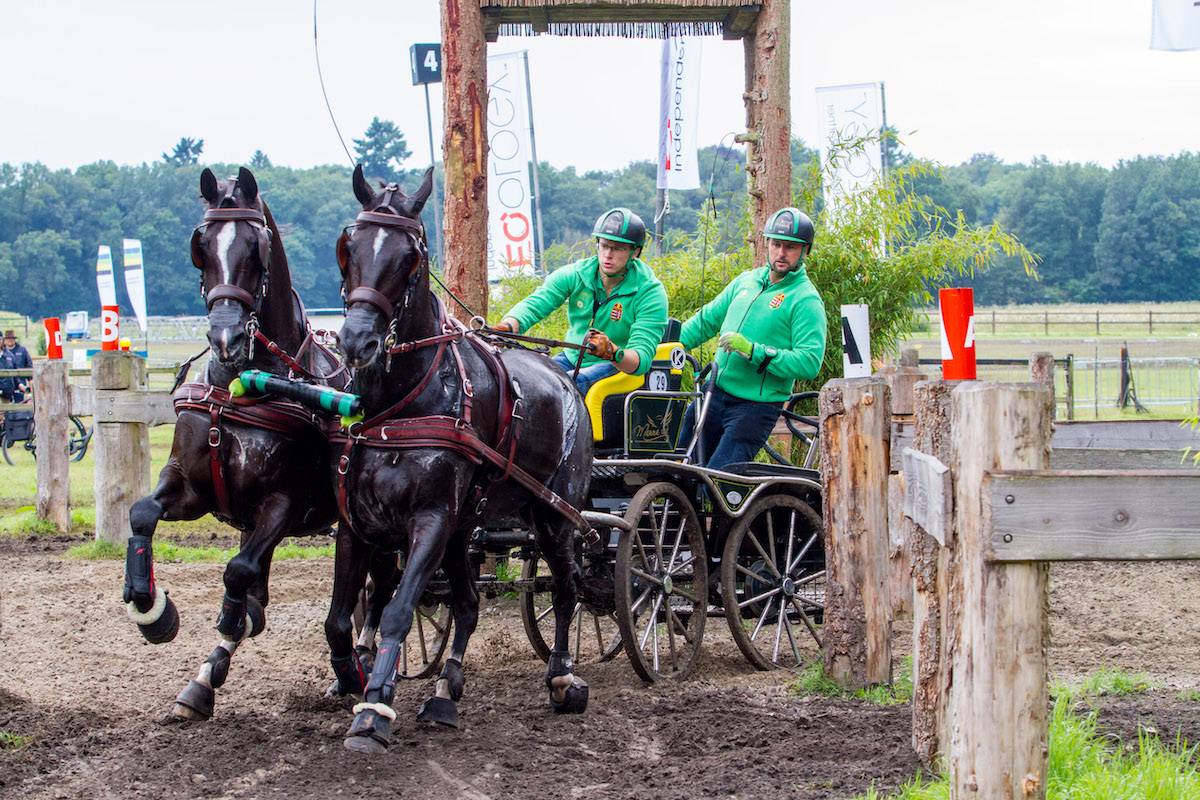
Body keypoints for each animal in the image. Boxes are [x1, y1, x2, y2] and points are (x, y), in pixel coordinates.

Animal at [126, 167, 350, 719]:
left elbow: (238, 572)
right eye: (201, 246)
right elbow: (142, 513)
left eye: (257, 246)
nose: (225, 338)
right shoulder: (190, 488)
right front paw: (151, 608)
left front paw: (228, 627)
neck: (241, 384)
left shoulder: (285, 504)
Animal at [326, 165, 592, 753]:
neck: (401, 404)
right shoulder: (358, 524)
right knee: (467, 603)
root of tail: (565, 375)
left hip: (554, 516)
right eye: (348, 246)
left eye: (410, 257)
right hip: (465, 526)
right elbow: (342, 619)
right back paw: (446, 691)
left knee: (567, 590)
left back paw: (563, 677)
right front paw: (353, 678)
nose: (356, 342)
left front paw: (373, 709)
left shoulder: (430, 519)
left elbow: (398, 609)